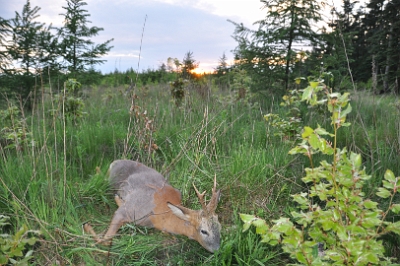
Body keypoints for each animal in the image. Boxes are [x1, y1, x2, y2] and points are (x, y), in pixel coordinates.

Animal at [85, 159, 222, 252]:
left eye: (219, 225)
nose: (217, 250)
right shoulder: (126, 211)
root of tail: (115, 161)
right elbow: (105, 240)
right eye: (204, 231)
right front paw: (87, 226)